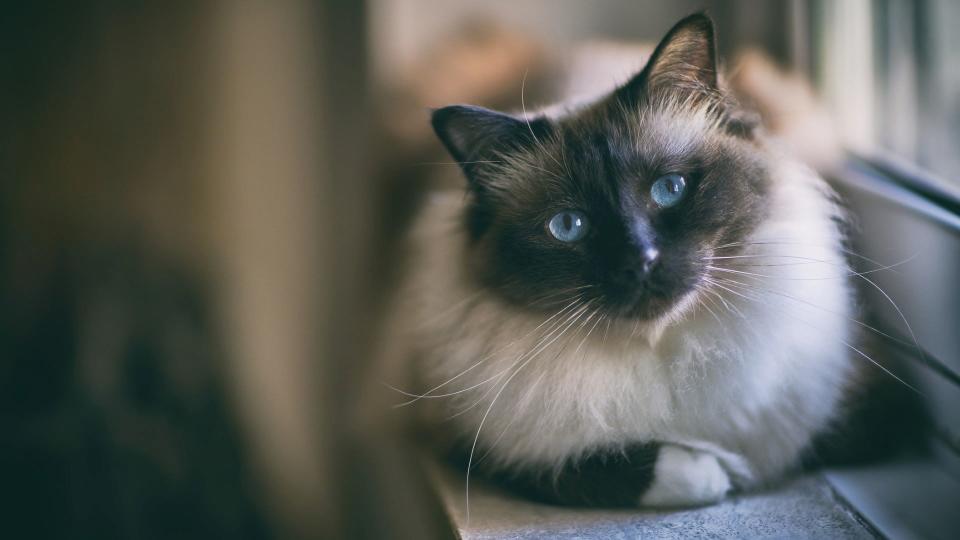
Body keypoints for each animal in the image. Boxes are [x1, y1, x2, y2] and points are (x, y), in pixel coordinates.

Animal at [386, 12, 920, 508]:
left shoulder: (866, 403)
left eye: (669, 189)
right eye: (569, 226)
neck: (667, 348)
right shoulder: (484, 450)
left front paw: (739, 467)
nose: (640, 260)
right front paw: (719, 472)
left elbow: (800, 444)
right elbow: (631, 469)